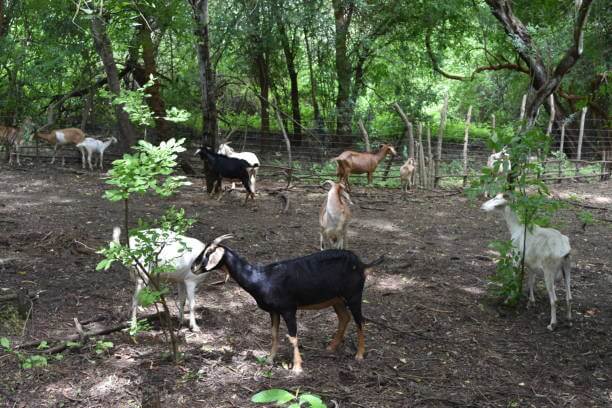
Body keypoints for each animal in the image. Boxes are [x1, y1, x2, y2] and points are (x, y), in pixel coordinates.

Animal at [200, 234, 382, 374]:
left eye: (208, 253)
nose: (195, 267)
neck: (262, 278)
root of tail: (362, 265)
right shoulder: (273, 311)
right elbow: (274, 334)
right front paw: (269, 359)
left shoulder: (288, 309)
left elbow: (293, 337)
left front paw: (297, 368)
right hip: (336, 299)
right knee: (344, 317)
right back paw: (331, 347)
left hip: (354, 295)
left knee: (359, 320)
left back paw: (359, 355)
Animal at [480, 193, 572, 330]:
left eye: (496, 198)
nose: (482, 206)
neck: (516, 228)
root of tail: (564, 250)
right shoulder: (531, 264)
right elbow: (530, 282)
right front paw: (531, 302)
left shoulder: (516, 257)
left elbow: (514, 278)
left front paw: (509, 300)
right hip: (567, 268)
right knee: (569, 297)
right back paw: (569, 320)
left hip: (549, 270)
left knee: (554, 299)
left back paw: (552, 324)